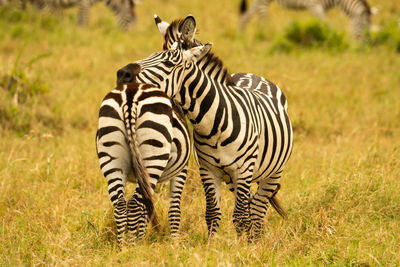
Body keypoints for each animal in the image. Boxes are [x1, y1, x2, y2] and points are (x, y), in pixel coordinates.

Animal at [96, 82, 191, 245]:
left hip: (112, 158)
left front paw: (142, 236)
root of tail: (130, 94)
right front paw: (175, 242)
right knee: (134, 204)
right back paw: (133, 246)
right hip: (153, 156)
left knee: (120, 204)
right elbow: (174, 208)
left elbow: (146, 208)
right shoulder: (181, 170)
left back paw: (122, 246)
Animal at [115, 15, 294, 240]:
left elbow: (240, 216)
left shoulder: (243, 170)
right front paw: (212, 244)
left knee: (257, 208)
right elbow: (213, 213)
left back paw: (257, 240)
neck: (214, 125)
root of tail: (252, 75)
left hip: (273, 171)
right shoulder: (208, 169)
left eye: (168, 63)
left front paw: (243, 246)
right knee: (252, 204)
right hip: (232, 178)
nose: (122, 73)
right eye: (151, 54)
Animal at [238, 0, 372, 38]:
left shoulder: (322, 9)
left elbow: (323, 25)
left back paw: (242, 34)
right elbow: (327, 25)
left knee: (248, 14)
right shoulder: (315, 6)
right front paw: (330, 38)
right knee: (261, 14)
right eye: (363, 26)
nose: (364, 47)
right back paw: (264, 35)